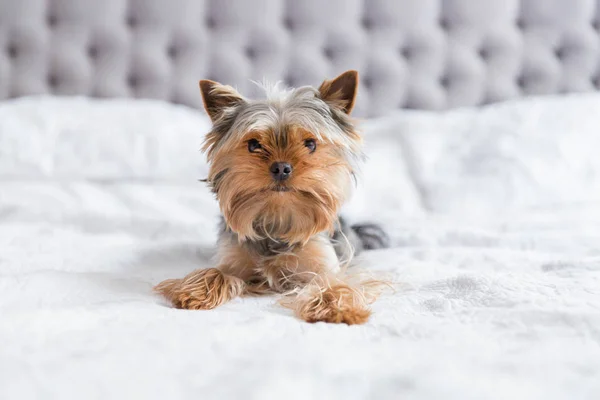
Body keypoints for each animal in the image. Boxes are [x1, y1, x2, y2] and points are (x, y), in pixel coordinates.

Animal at [155, 70, 390, 324]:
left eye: (310, 144)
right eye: (253, 145)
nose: (281, 168)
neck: (276, 218)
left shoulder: (323, 265)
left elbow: (332, 282)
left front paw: (336, 307)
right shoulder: (234, 261)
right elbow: (217, 272)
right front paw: (195, 292)